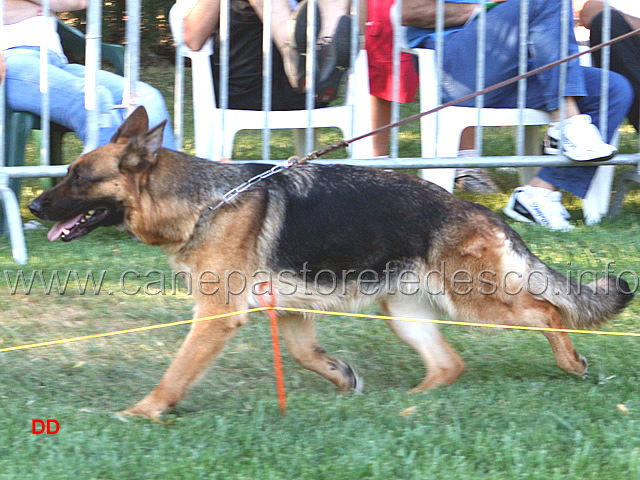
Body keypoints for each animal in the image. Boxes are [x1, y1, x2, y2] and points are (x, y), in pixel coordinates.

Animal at [28, 109, 632, 420]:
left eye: (78, 178)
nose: (33, 206)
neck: (207, 200)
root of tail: (477, 209)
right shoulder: (290, 310)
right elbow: (304, 355)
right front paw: (343, 377)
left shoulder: (217, 316)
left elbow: (176, 371)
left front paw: (145, 411)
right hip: (405, 314)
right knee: (449, 364)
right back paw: (405, 406)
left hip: (476, 301)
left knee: (546, 311)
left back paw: (570, 363)